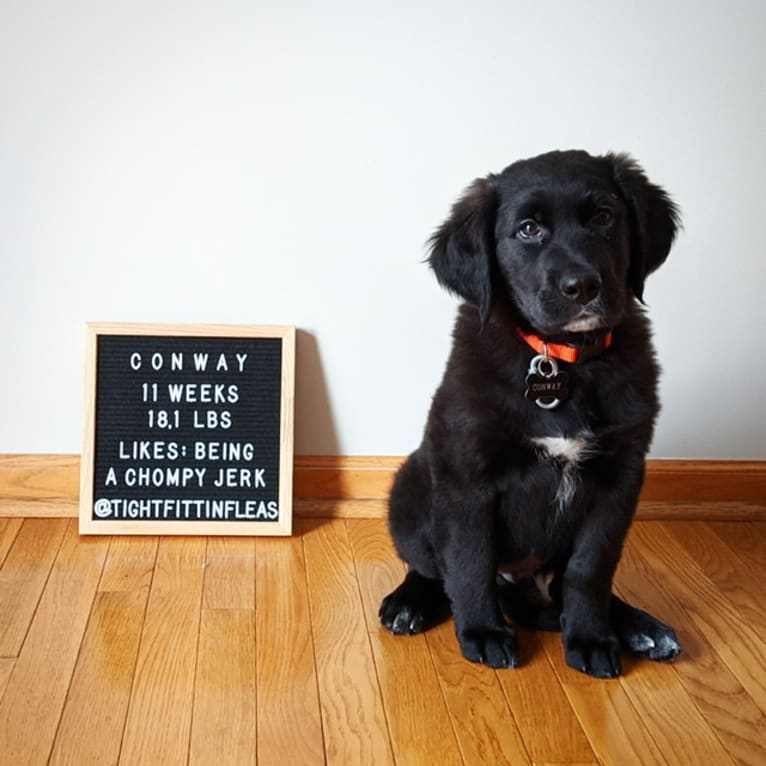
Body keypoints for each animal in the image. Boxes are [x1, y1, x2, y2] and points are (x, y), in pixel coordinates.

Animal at [380, 150, 688, 680]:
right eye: (528, 230)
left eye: (604, 217)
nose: (582, 286)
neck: (560, 359)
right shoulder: (467, 478)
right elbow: (469, 561)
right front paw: (483, 632)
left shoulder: (619, 479)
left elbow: (590, 568)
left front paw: (590, 637)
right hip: (412, 486)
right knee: (434, 568)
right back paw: (409, 603)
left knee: (563, 583)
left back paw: (639, 627)